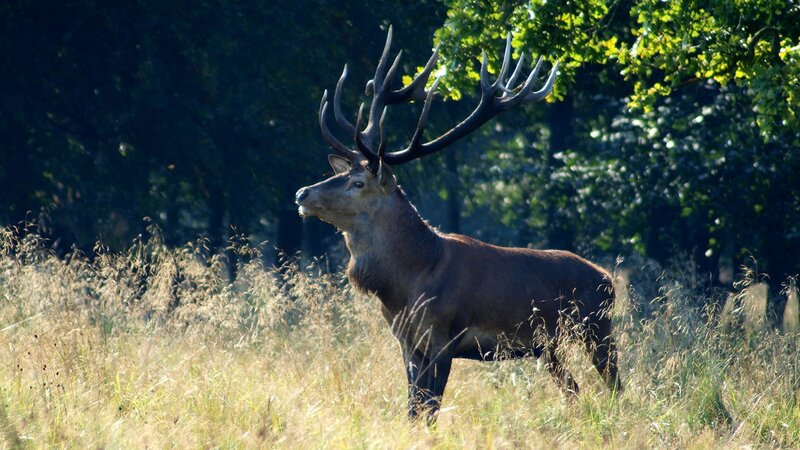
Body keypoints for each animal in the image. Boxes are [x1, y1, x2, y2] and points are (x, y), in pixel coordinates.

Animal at [295, 27, 622, 422]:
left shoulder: (444, 336)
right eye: (342, 174)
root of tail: (607, 278)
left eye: (358, 183)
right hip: (549, 346)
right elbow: (413, 409)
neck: (407, 282)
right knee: (574, 388)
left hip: (597, 327)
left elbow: (430, 409)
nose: (302, 193)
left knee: (615, 385)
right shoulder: (406, 342)